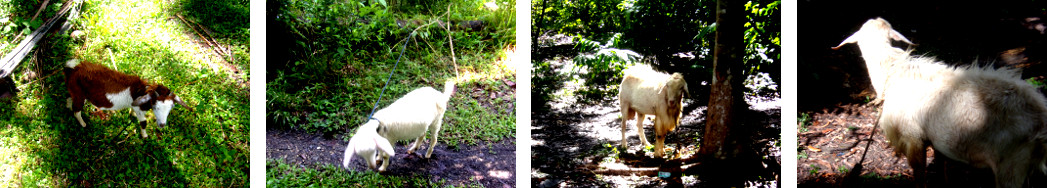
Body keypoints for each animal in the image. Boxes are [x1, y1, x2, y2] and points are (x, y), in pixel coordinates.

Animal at [833, 17, 1047, 186]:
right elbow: (942, 170)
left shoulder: (913, 138)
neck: (893, 72)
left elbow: (920, 176)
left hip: (1012, 165)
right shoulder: (937, 140)